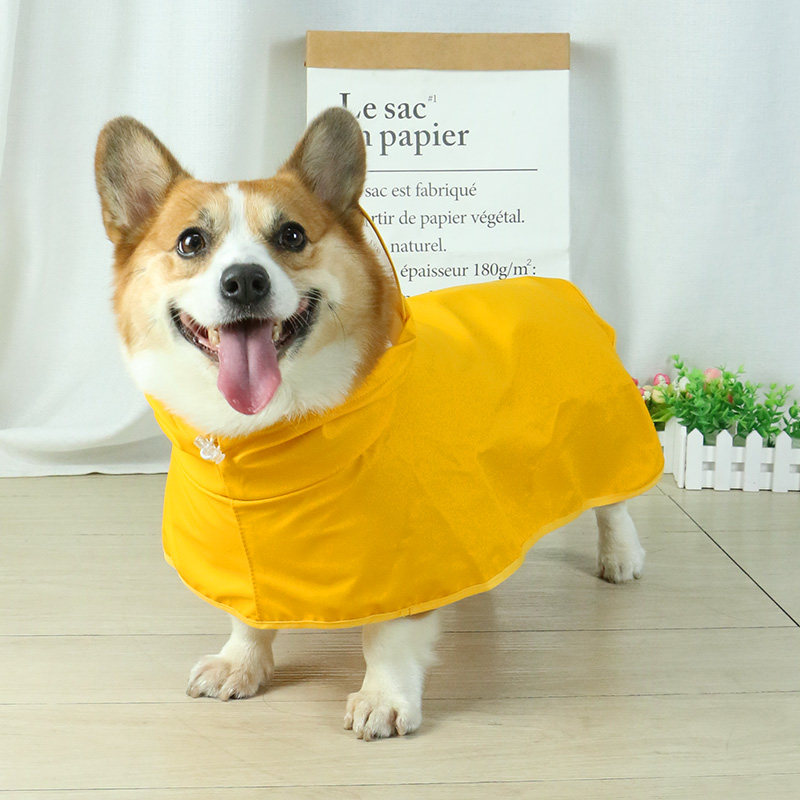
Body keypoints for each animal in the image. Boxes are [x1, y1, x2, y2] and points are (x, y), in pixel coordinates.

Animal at [95, 107, 663, 740]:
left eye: (292, 236)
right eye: (191, 242)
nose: (244, 281)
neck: (266, 438)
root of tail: (560, 287)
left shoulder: (406, 554)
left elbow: (387, 636)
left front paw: (384, 699)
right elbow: (249, 615)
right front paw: (240, 664)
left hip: (602, 439)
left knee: (613, 504)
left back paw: (620, 557)